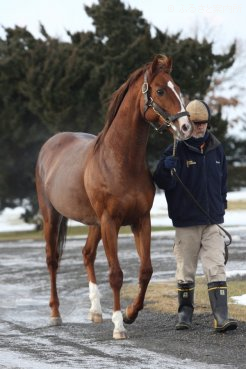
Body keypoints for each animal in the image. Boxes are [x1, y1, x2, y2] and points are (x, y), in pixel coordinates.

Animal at [35, 53, 192, 338]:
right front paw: (119, 325)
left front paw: (130, 313)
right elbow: (116, 274)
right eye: (160, 90)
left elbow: (146, 270)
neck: (119, 161)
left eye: (178, 88)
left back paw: (96, 312)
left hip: (94, 223)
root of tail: (51, 144)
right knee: (52, 260)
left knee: (87, 254)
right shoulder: (110, 222)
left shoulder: (141, 221)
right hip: (52, 216)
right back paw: (55, 314)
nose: (185, 126)